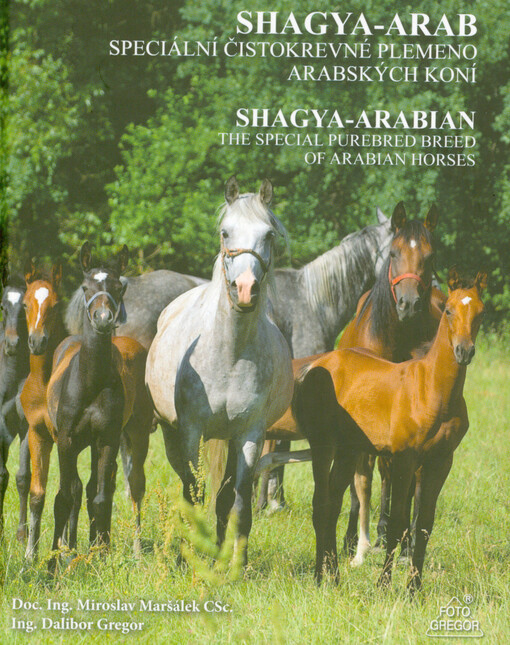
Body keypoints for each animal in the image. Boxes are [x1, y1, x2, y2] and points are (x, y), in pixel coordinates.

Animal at [46, 243, 153, 568]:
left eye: (119, 287)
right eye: (85, 287)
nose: (104, 318)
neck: (89, 381)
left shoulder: (106, 439)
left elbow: (101, 497)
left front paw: (99, 555)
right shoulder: (66, 441)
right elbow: (64, 497)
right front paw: (54, 564)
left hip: (135, 434)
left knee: (130, 485)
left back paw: (124, 548)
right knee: (80, 487)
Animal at [146, 177, 294, 566]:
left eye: (269, 234)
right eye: (226, 232)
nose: (245, 290)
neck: (230, 354)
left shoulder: (249, 435)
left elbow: (239, 501)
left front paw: (236, 564)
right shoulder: (190, 431)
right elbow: (194, 493)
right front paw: (192, 557)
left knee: (225, 495)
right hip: (172, 435)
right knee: (188, 485)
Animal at [293, 267, 486, 592]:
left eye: (480, 312)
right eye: (448, 310)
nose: (464, 351)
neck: (432, 390)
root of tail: (318, 364)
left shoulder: (441, 462)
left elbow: (423, 526)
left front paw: (414, 590)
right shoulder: (404, 459)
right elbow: (397, 524)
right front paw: (384, 585)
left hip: (347, 451)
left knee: (332, 504)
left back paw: (334, 576)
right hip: (323, 446)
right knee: (321, 504)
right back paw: (321, 576)